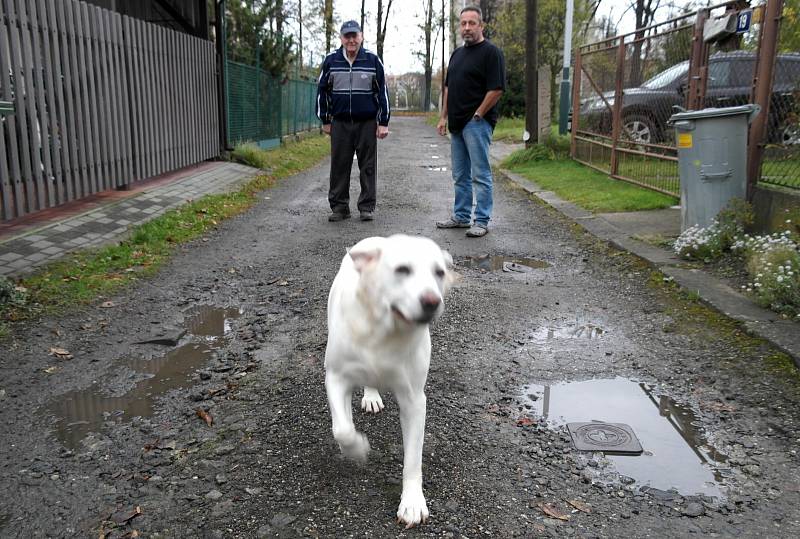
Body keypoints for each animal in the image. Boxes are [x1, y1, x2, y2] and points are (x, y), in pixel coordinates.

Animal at [324, 235, 450, 528]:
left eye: (439, 272)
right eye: (402, 269)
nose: (432, 301)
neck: (384, 330)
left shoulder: (414, 400)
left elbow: (413, 459)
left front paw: (412, 502)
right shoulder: (335, 377)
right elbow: (342, 429)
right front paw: (357, 449)